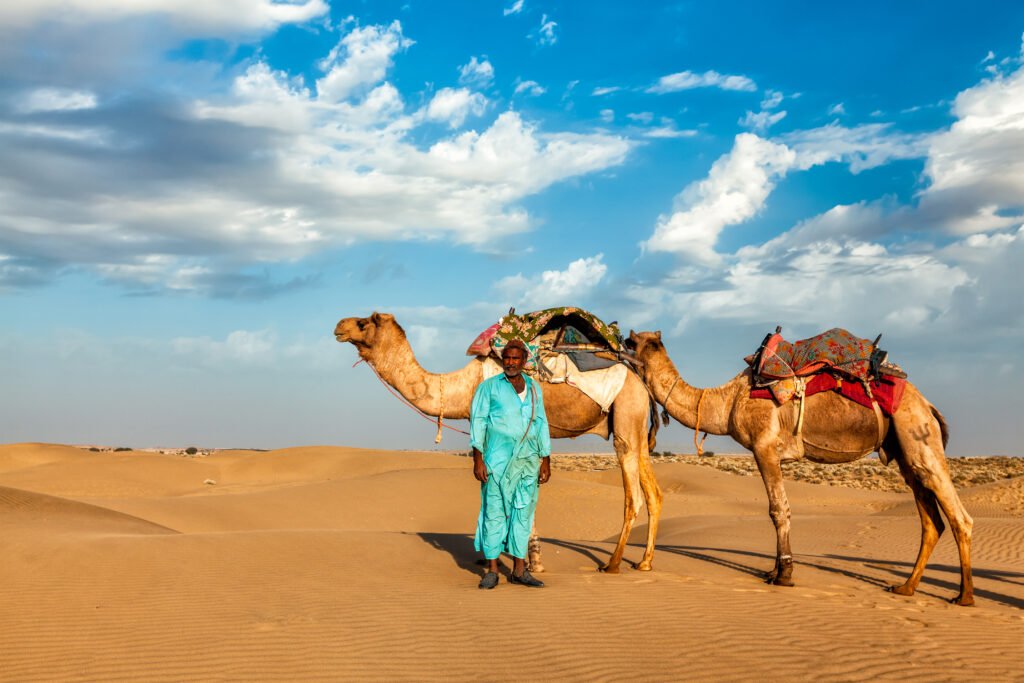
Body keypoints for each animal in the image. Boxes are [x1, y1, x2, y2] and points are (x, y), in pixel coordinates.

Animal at [334, 312, 663, 574]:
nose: (339, 326)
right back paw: (645, 562)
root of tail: (640, 380)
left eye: (364, 322)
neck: (462, 385)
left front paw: (528, 561)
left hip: (626, 413)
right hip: (634, 424)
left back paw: (613, 564)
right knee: (653, 492)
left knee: (633, 495)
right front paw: (524, 558)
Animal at [626, 330, 974, 605]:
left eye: (634, 341)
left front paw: (783, 574)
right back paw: (906, 587)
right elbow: (781, 508)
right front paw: (774, 571)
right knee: (931, 520)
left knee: (959, 515)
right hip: (904, 452)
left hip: (919, 435)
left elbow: (778, 510)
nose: (619, 342)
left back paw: (964, 596)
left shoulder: (764, 449)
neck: (726, 402)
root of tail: (928, 405)